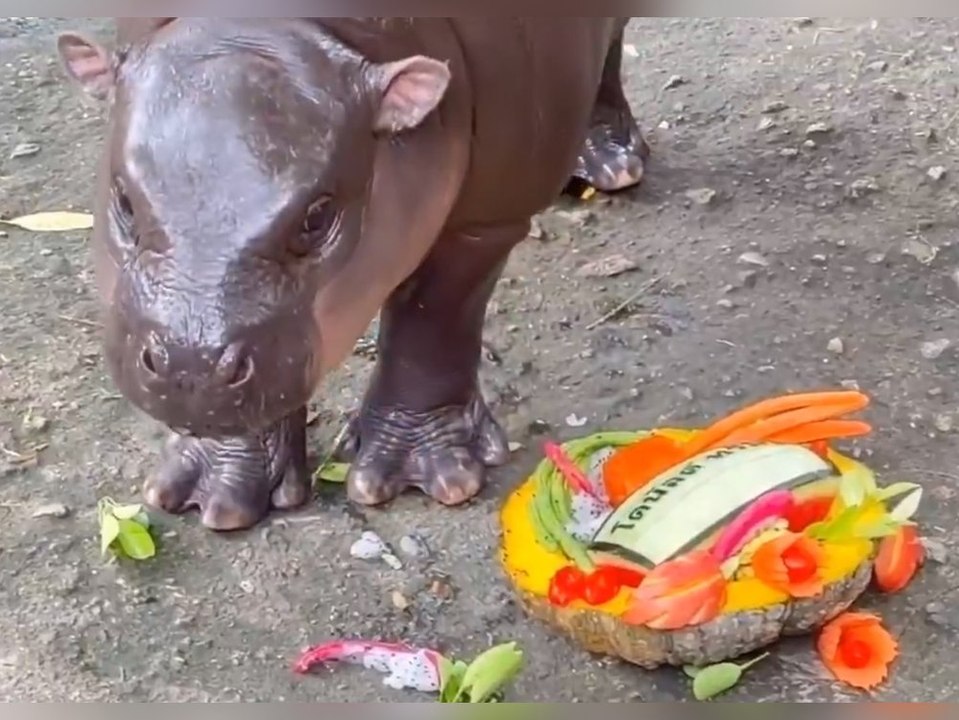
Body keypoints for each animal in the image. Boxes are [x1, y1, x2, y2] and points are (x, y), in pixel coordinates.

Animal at [56, 17, 648, 531]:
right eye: (124, 200)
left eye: (317, 217)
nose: (190, 366)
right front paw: (216, 498)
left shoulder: (490, 213)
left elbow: (433, 319)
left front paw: (430, 475)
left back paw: (612, 165)